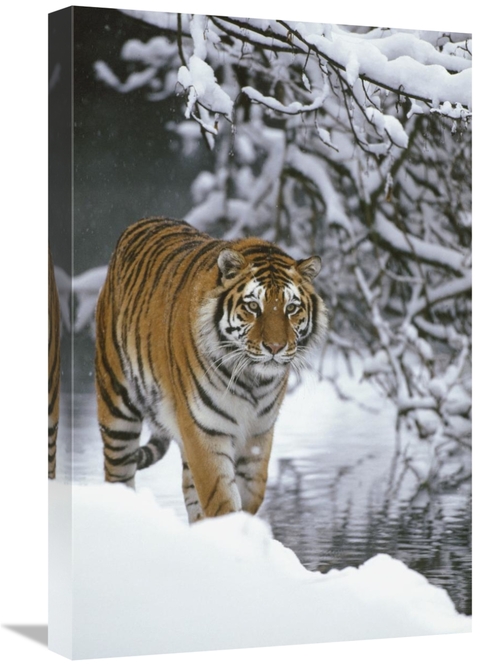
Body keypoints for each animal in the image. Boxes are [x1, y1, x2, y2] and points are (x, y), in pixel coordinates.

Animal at [94, 217, 327, 522]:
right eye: (253, 306)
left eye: (291, 308)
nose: (275, 347)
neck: (253, 380)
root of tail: (141, 222)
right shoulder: (204, 430)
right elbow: (221, 499)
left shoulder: (259, 433)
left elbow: (251, 493)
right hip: (116, 407)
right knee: (118, 474)